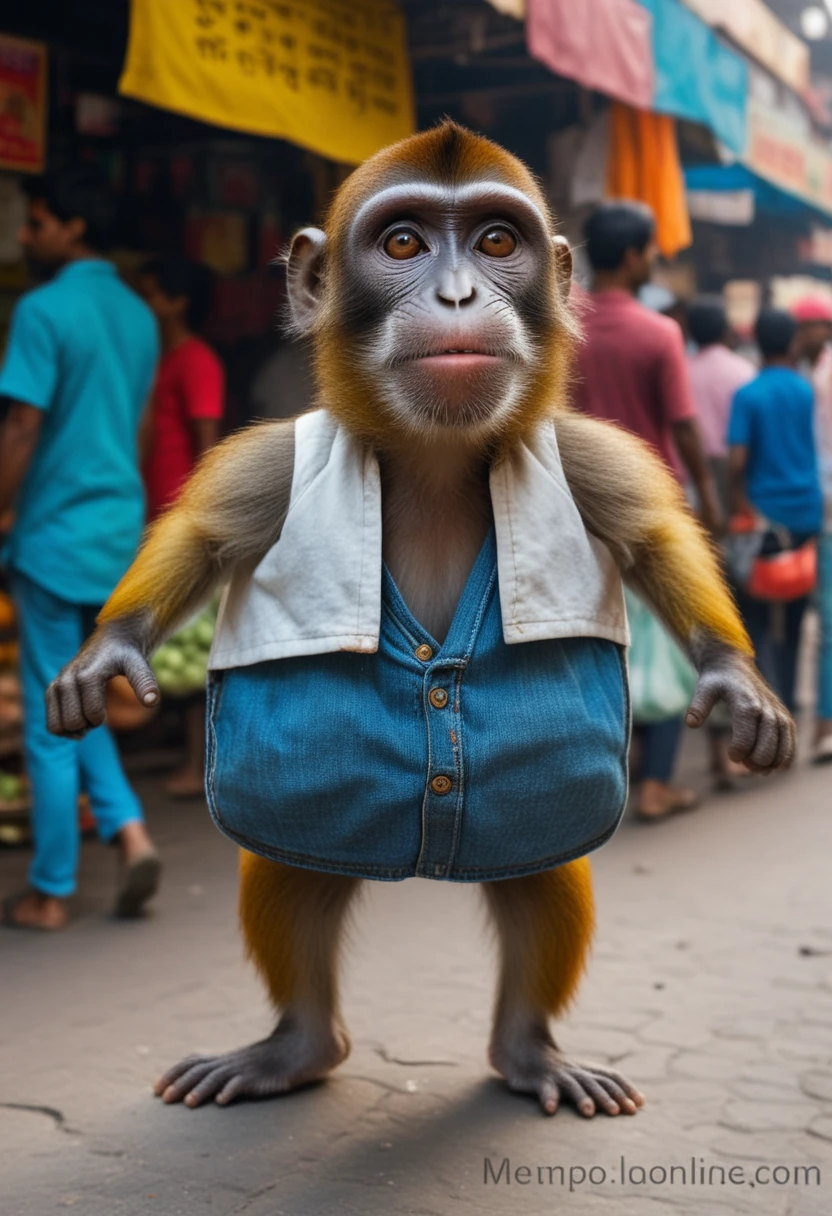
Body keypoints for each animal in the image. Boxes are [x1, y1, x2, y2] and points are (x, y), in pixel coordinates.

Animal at [46, 122, 794, 1120]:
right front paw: (112, 647)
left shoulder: (582, 452)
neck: (436, 455)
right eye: (403, 244)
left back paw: (527, 1050)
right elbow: (205, 538)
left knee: (539, 870)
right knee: (296, 867)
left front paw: (732, 676)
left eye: (496, 242)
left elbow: (653, 535)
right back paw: (298, 1045)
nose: (457, 294)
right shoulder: (275, 461)